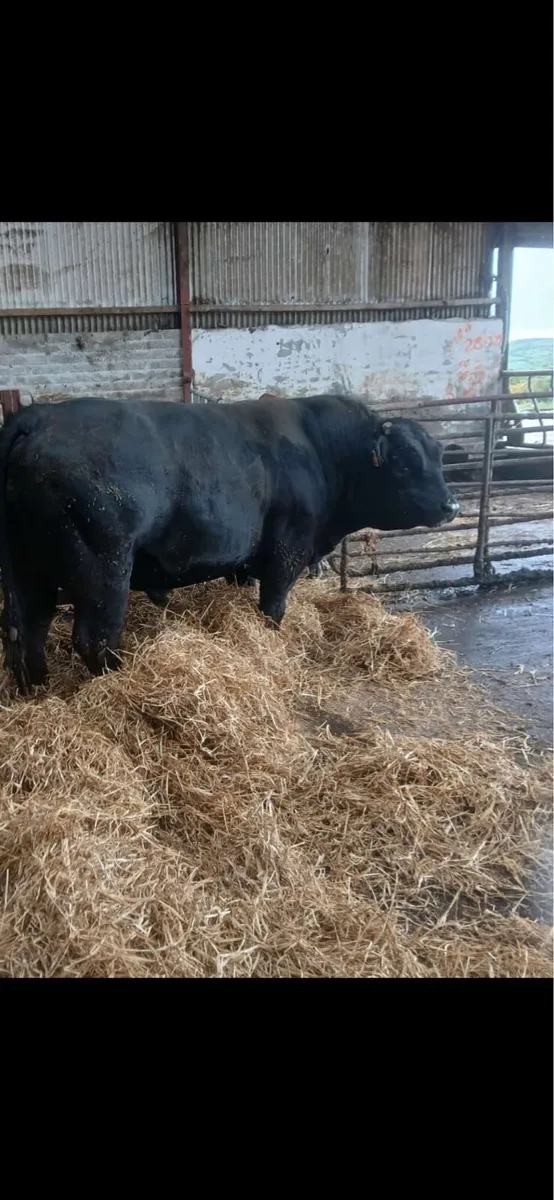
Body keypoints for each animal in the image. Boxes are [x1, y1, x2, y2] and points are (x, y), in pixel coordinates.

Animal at [0, 394, 459, 692]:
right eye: (403, 462)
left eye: (439, 457)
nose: (450, 504)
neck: (321, 450)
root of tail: (38, 417)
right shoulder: (287, 550)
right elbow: (274, 606)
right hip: (104, 569)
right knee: (94, 638)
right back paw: (114, 682)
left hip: (27, 570)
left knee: (27, 630)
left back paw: (38, 690)